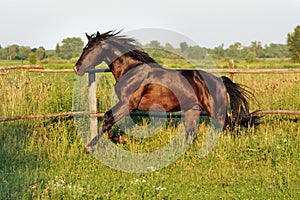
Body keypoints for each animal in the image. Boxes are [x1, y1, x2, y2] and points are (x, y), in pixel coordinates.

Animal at [73, 30, 258, 150]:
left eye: (91, 49)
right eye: (84, 48)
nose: (76, 68)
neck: (131, 71)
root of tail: (220, 80)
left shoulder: (128, 104)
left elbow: (107, 119)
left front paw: (92, 147)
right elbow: (106, 118)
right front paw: (118, 139)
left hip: (216, 111)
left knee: (230, 127)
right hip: (192, 110)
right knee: (191, 134)